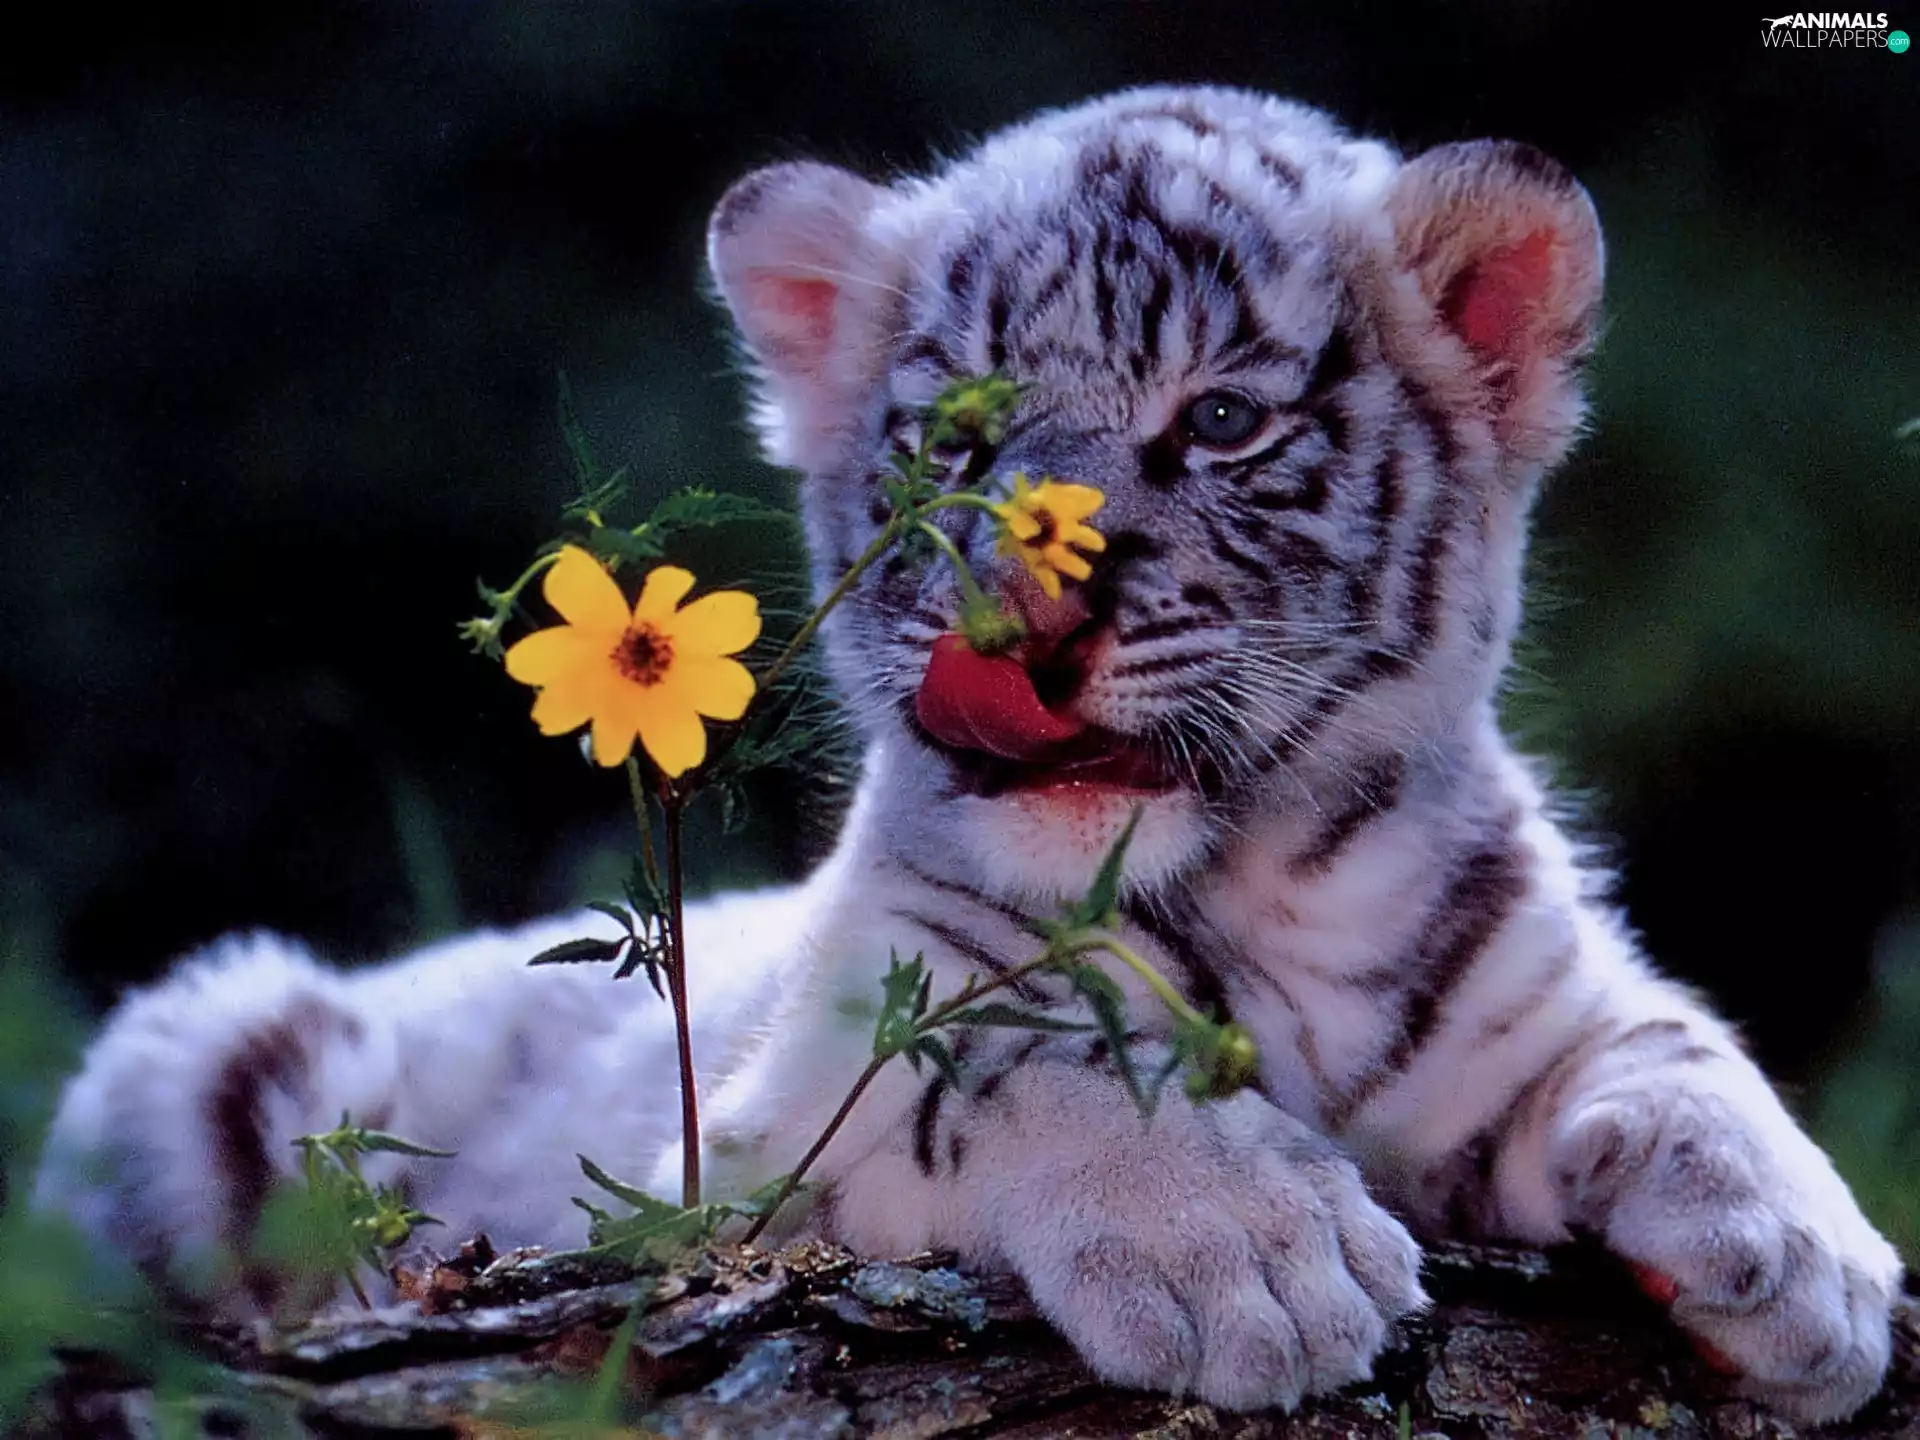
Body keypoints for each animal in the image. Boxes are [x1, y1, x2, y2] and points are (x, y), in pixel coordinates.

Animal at [34, 85, 1901, 1424]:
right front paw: (1256, 1258)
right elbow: (1015, 1065)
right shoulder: (770, 1131)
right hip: (194, 1049)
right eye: (954, 442)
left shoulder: (1529, 996)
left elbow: (1675, 1045)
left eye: (1222, 421)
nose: (1024, 630)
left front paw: (1809, 1263)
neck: (1268, 898)